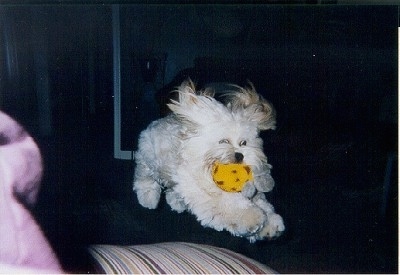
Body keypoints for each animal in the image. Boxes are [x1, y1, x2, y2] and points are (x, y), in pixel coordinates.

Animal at [134, 81, 284, 243]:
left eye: (243, 143)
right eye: (224, 141)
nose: (239, 155)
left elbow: (263, 203)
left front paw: (271, 225)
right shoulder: (203, 193)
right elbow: (229, 205)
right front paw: (253, 219)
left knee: (172, 190)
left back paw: (177, 203)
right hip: (149, 159)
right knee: (144, 176)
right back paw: (148, 198)